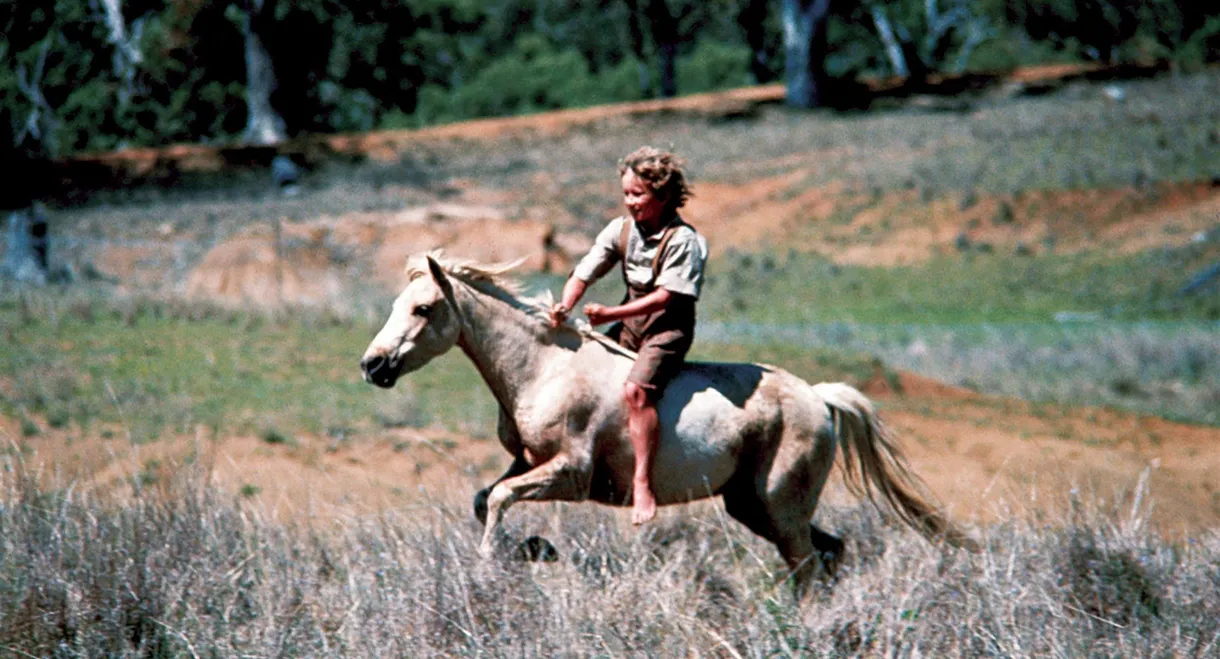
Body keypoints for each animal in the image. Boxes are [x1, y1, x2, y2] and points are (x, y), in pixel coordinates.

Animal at [360, 253, 971, 592]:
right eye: (394, 304)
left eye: (422, 308)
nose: (372, 365)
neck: (545, 367)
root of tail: (820, 399)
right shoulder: (528, 461)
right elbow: (485, 498)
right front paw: (534, 549)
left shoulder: (571, 474)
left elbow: (502, 500)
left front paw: (497, 564)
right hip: (755, 506)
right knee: (830, 553)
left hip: (780, 506)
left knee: (808, 566)